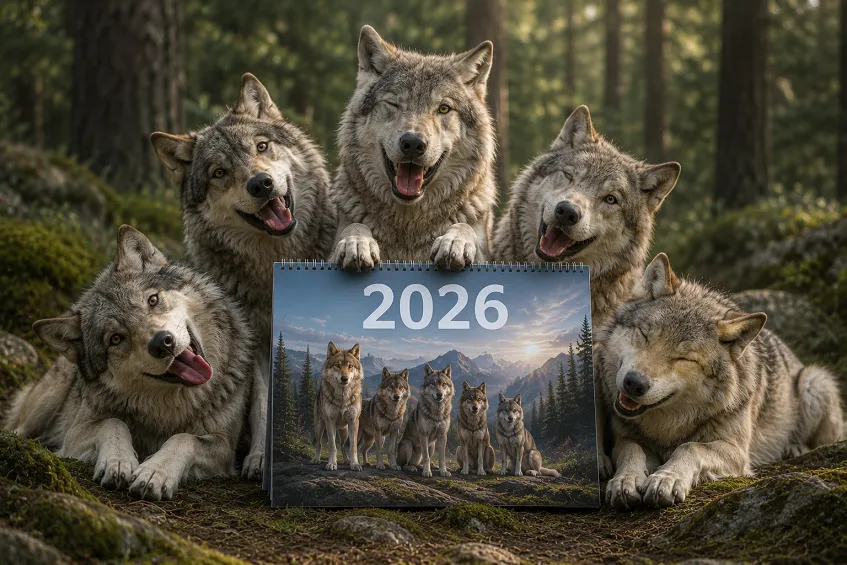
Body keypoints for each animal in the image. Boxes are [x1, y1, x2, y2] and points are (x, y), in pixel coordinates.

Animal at [4, 226, 264, 500]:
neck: (172, 407)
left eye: (152, 300)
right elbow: (114, 423)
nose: (163, 343)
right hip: (47, 402)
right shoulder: (75, 433)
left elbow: (184, 438)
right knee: (20, 427)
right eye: (116, 339)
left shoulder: (224, 445)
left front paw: (154, 472)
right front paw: (118, 461)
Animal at [311, 342, 364, 471]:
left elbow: (353, 447)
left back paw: (347, 461)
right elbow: (332, 446)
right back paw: (316, 459)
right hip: (319, 427)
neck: (342, 397)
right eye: (337, 365)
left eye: (350, 366)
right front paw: (332, 463)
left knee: (343, 445)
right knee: (319, 443)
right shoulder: (330, 422)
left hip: (344, 431)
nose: (344, 378)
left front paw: (355, 464)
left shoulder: (354, 422)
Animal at [330, 25, 497, 271]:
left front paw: (454, 242)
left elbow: (464, 228)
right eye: (393, 104)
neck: (409, 227)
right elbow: (355, 226)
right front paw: (356, 243)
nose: (413, 143)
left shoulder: (486, 256)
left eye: (444, 108)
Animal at [599, 253, 845, 509]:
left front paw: (667, 479)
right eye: (644, 335)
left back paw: (794, 447)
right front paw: (625, 480)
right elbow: (632, 449)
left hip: (814, 381)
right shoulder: (623, 437)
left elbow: (690, 448)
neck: (669, 428)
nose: (634, 383)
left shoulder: (736, 452)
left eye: (684, 358)